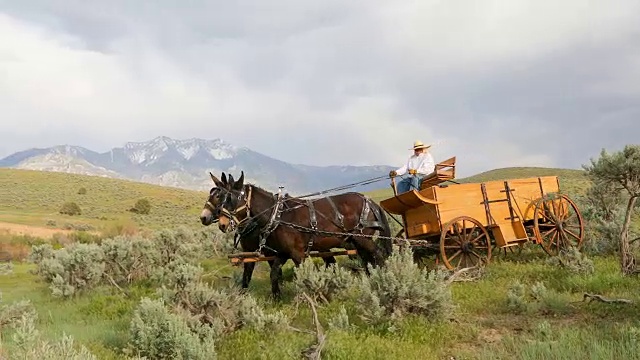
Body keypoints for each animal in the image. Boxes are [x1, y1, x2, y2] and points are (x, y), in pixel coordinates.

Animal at [208, 170, 392, 300]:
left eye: (230, 198)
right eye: (221, 198)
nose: (222, 224)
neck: (279, 215)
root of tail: (370, 201)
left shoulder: (297, 253)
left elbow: (305, 275)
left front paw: (315, 296)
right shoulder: (282, 253)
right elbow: (274, 274)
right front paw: (276, 298)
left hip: (363, 238)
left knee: (377, 255)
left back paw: (382, 279)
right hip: (357, 240)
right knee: (367, 259)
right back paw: (370, 279)